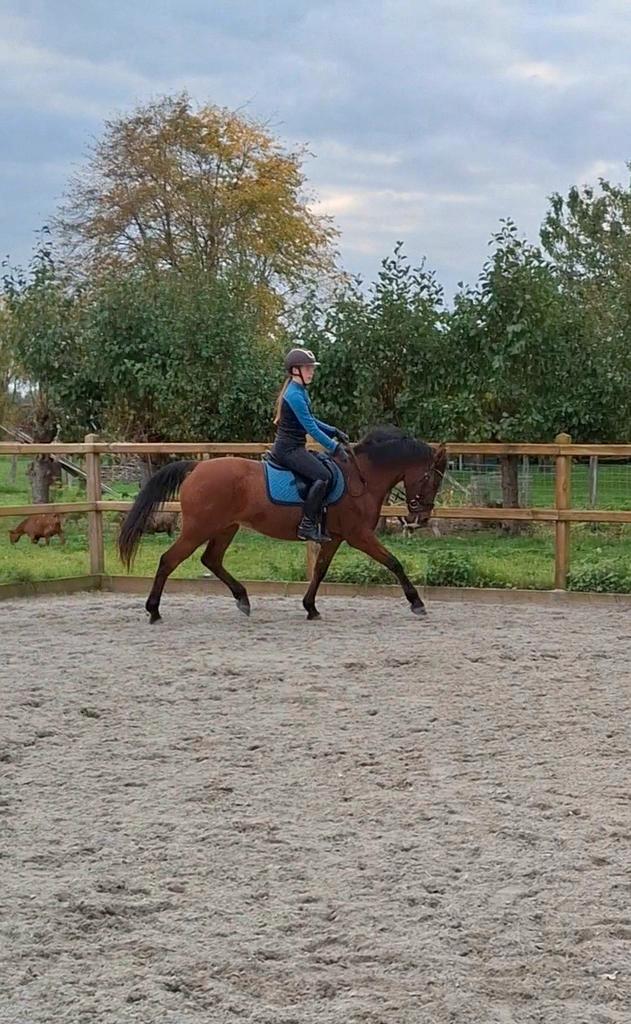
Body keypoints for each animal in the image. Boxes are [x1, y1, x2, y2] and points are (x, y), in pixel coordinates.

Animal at [118, 426, 447, 623]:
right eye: (432, 479)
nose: (422, 518)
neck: (361, 478)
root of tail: (197, 466)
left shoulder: (335, 537)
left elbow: (320, 570)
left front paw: (310, 607)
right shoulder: (359, 535)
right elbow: (394, 563)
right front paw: (417, 602)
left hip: (225, 528)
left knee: (211, 560)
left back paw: (243, 600)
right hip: (199, 528)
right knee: (168, 560)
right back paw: (154, 610)